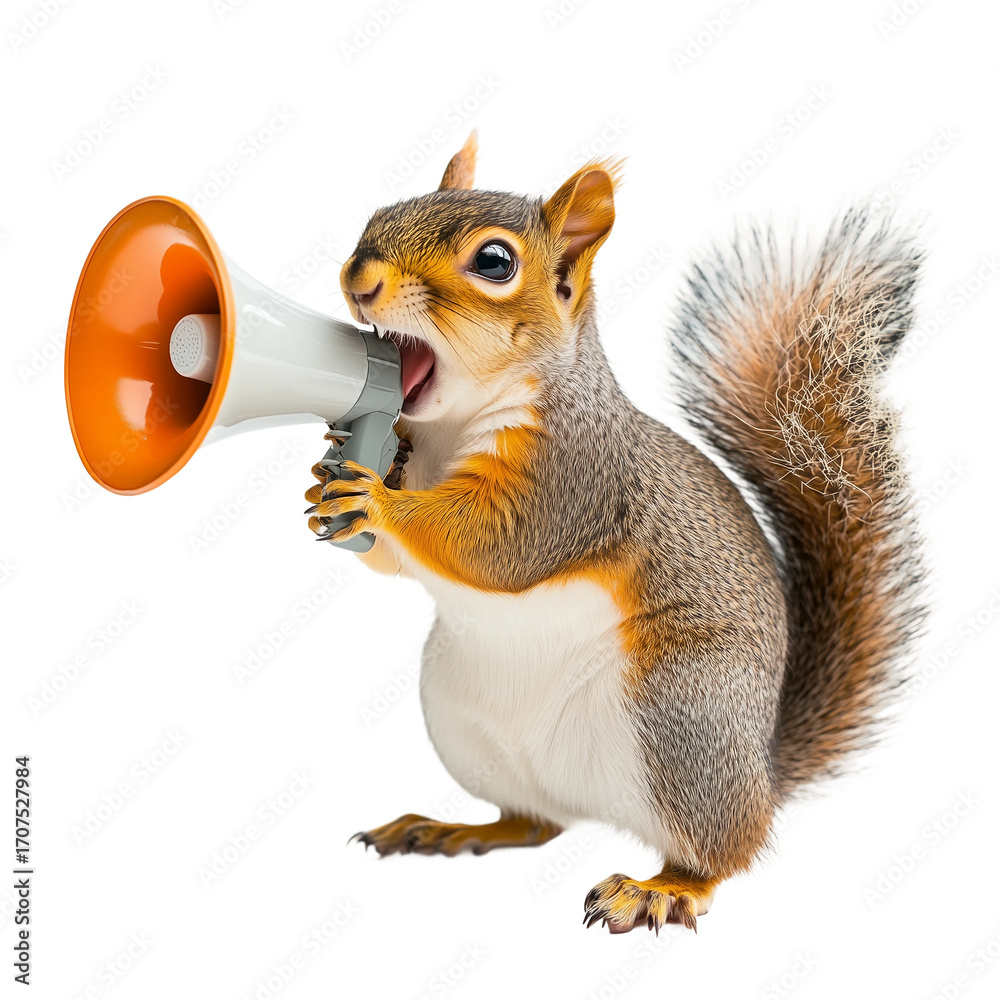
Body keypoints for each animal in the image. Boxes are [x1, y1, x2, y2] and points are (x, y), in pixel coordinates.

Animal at [306, 131, 926, 933]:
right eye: (380, 214)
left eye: (494, 261)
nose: (360, 277)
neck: (451, 426)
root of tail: (760, 768)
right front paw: (332, 476)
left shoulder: (573, 479)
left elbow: (494, 547)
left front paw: (378, 503)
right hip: (464, 724)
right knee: (534, 821)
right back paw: (450, 828)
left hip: (681, 715)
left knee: (726, 850)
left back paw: (662, 888)